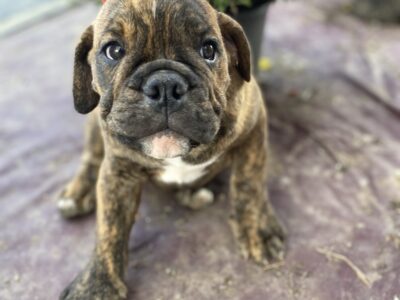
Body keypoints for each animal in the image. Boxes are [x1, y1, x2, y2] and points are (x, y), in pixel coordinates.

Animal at [58, 1, 284, 298]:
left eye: (209, 50)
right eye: (113, 51)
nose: (164, 85)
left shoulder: (254, 129)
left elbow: (249, 184)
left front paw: (257, 228)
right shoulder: (118, 171)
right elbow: (109, 227)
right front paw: (97, 284)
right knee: (91, 158)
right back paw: (78, 193)